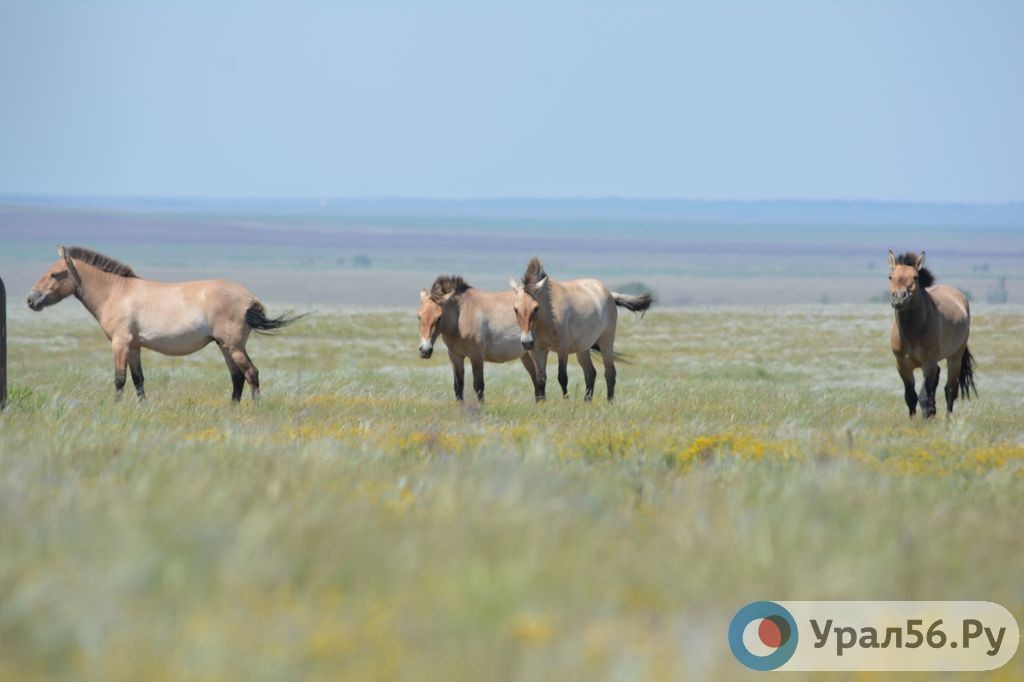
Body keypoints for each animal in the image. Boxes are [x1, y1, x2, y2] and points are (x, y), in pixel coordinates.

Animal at [25, 246, 301, 401]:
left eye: (55, 274)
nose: (31, 299)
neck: (116, 292)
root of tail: (249, 297)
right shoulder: (134, 346)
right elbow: (138, 379)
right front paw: (142, 408)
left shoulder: (120, 343)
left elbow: (119, 379)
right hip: (224, 346)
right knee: (237, 378)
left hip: (233, 346)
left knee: (251, 373)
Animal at [415, 274, 548, 401]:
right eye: (419, 316)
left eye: (439, 317)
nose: (425, 350)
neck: (461, 315)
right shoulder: (455, 356)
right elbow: (458, 387)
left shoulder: (476, 357)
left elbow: (479, 387)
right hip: (525, 356)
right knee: (537, 383)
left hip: (535, 353)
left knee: (540, 381)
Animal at [507, 258, 651, 401]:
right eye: (515, 309)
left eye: (536, 308)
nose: (527, 342)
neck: (549, 314)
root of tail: (609, 293)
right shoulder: (538, 350)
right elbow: (540, 380)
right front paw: (542, 403)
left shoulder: (562, 349)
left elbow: (562, 377)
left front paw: (566, 401)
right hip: (583, 349)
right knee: (590, 373)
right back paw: (587, 401)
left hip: (606, 342)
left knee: (610, 373)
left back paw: (609, 402)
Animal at [888, 249, 974, 417]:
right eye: (890, 276)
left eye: (915, 277)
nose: (899, 298)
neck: (911, 334)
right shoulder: (902, 365)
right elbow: (910, 396)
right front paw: (914, 419)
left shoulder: (928, 363)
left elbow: (923, 396)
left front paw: (925, 418)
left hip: (955, 357)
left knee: (950, 389)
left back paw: (947, 419)